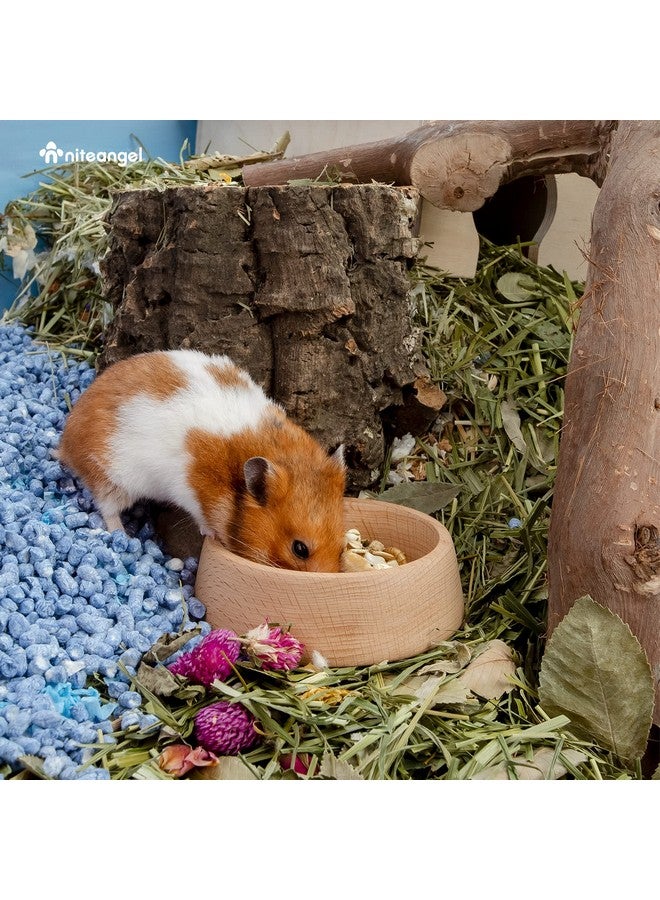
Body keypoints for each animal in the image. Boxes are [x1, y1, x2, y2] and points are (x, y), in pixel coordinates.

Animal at [57, 350, 347, 573]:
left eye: (342, 547)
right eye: (300, 549)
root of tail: (65, 444)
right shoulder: (193, 490)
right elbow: (202, 518)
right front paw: (212, 534)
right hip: (112, 478)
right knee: (107, 509)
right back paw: (123, 535)